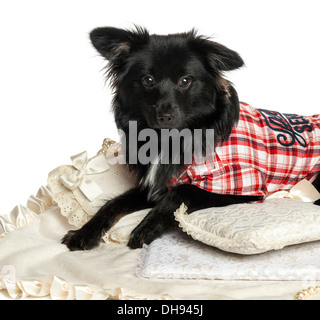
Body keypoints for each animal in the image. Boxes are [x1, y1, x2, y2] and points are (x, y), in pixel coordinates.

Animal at [61, 26, 320, 250]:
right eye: (148, 80)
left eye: (185, 81)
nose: (164, 116)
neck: (171, 138)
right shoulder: (155, 186)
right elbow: (112, 203)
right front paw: (85, 232)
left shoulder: (243, 186)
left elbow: (182, 192)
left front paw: (146, 228)